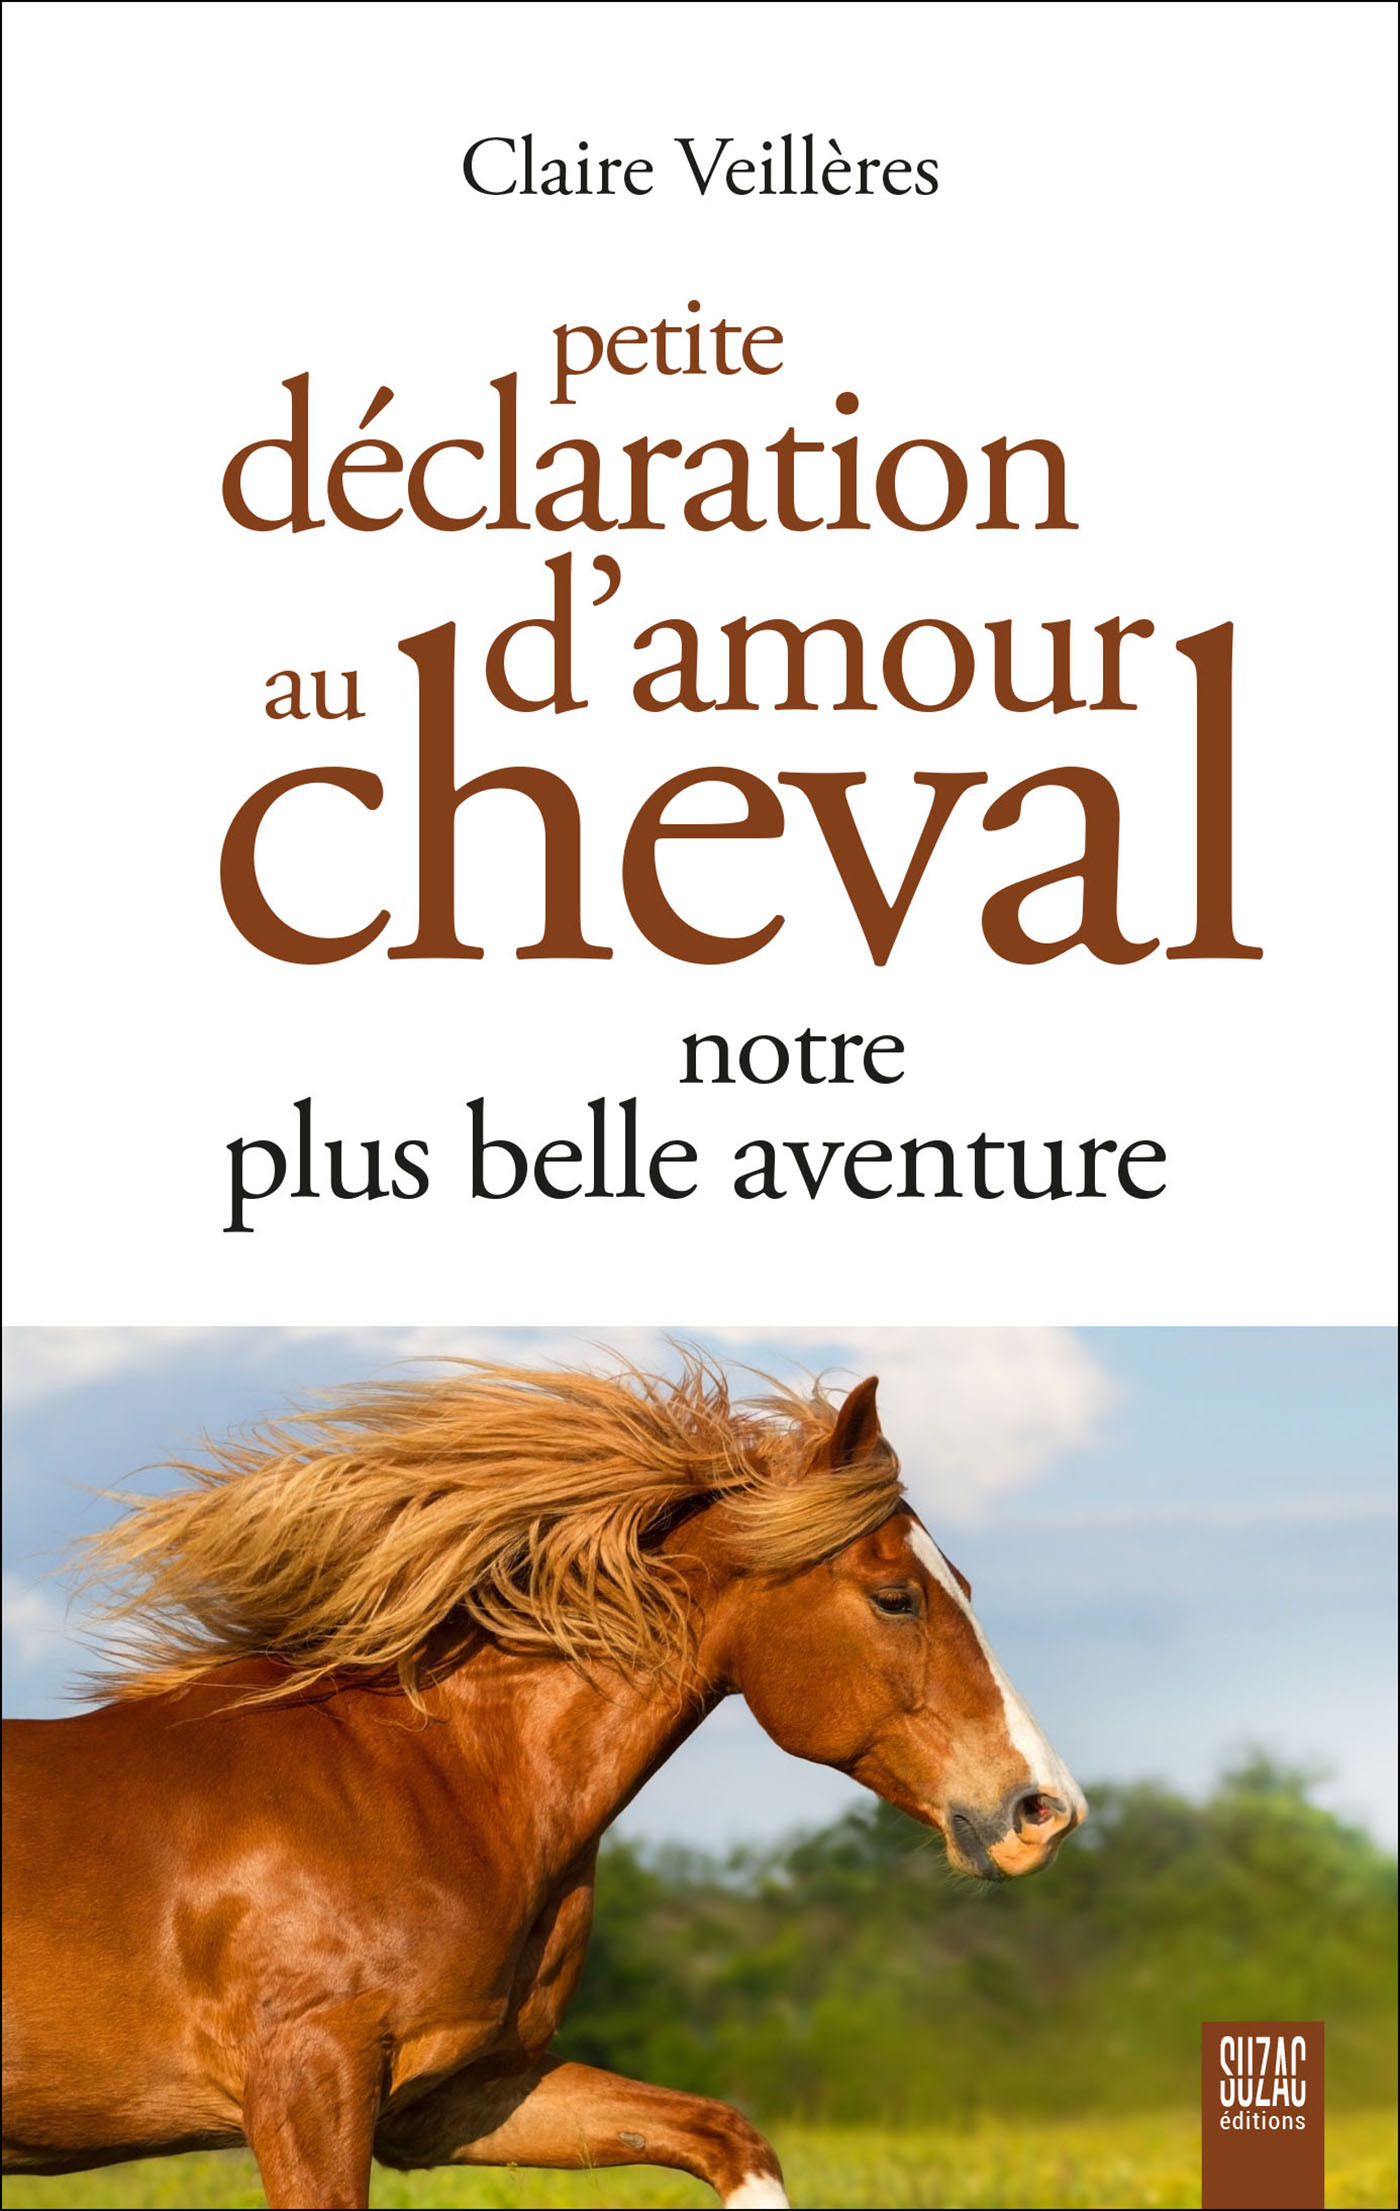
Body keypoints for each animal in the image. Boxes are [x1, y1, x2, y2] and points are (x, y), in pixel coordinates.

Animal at [3, 1358, 1085, 2209]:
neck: (435, 1784)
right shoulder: (307, 2085)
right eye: (896, 1597)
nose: (1043, 1810)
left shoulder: (455, 2096)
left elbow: (728, 2136)